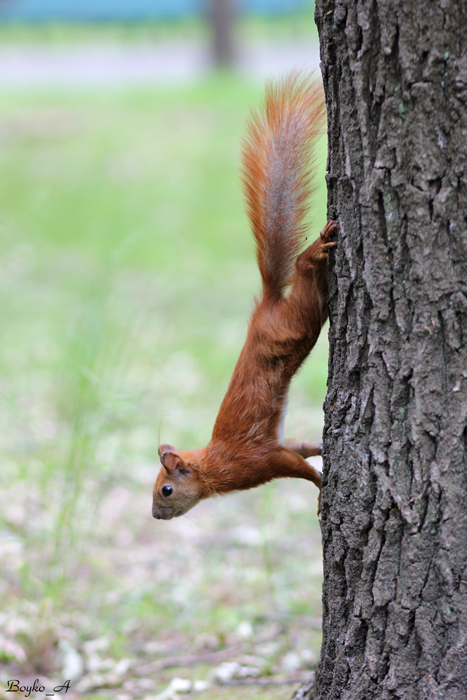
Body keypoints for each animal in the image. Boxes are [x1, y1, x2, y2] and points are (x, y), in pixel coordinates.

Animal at [152, 76, 338, 524]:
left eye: (166, 490)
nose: (154, 515)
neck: (213, 465)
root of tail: (266, 304)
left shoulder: (257, 461)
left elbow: (298, 468)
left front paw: (321, 489)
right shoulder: (279, 444)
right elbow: (302, 448)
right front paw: (322, 448)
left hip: (296, 322)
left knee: (303, 272)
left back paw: (316, 249)